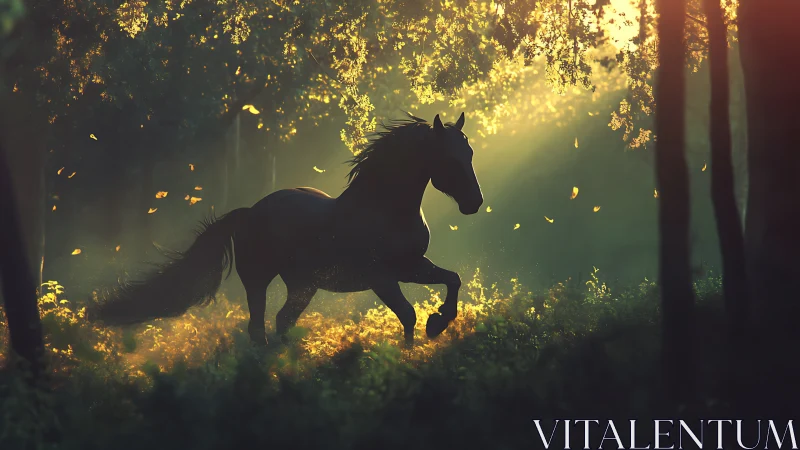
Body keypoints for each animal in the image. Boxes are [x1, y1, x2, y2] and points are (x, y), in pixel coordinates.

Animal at [90, 113, 483, 347]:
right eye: (450, 159)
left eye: (470, 154)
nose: (474, 203)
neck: (383, 209)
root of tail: (248, 212)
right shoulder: (382, 277)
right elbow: (407, 314)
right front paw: (414, 347)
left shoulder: (411, 266)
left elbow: (452, 280)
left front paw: (439, 323)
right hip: (259, 281)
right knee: (258, 325)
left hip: (302, 286)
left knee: (282, 321)